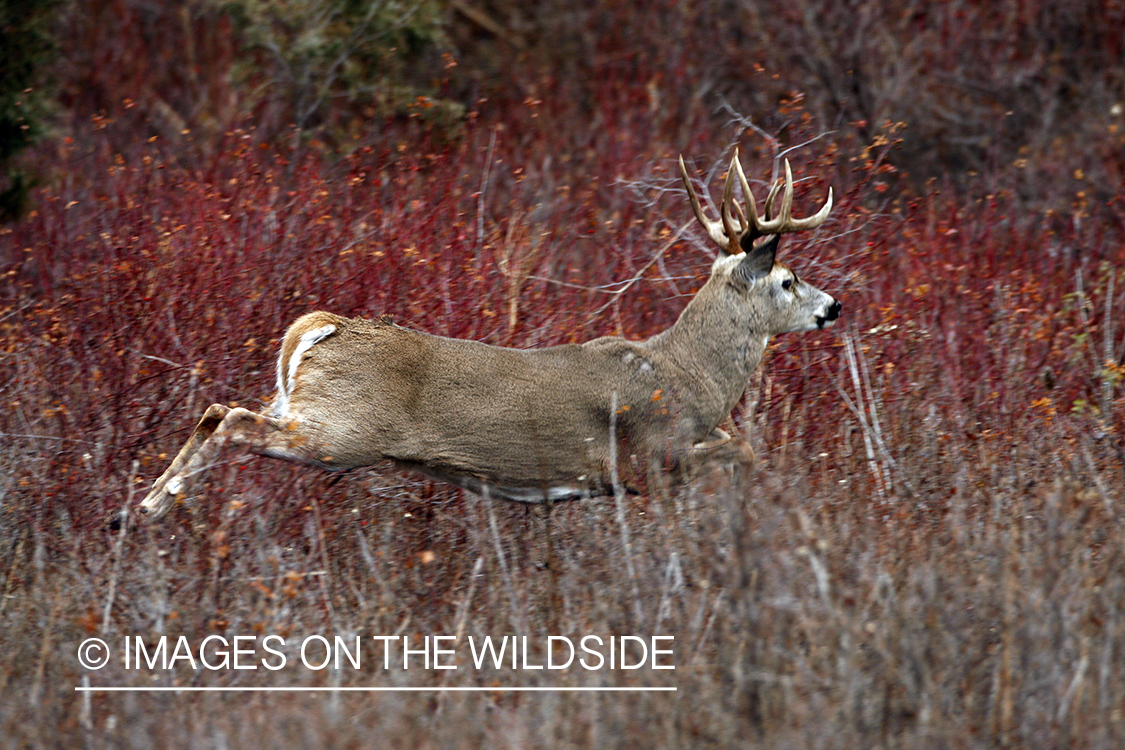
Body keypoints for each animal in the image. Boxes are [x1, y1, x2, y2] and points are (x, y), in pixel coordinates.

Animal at [138, 149, 837, 519]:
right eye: (789, 279)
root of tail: (321, 328)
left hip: (302, 407)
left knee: (217, 410)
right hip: (342, 429)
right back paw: (153, 505)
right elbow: (739, 453)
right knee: (230, 419)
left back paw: (137, 510)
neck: (691, 375)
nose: (834, 306)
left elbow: (743, 448)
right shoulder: (653, 455)